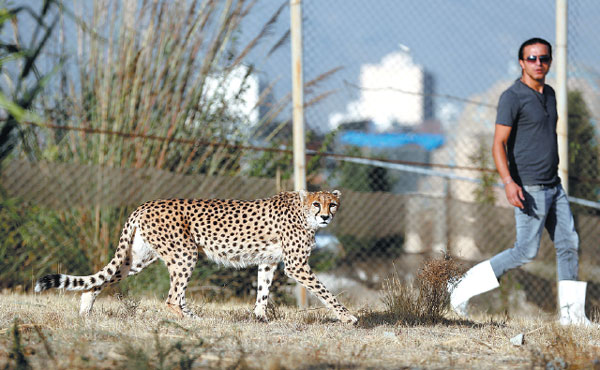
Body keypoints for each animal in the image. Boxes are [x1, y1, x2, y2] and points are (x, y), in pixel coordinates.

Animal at [34, 191, 356, 324]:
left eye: (333, 204)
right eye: (317, 204)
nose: (326, 216)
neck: (303, 213)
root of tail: (144, 204)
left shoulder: (268, 260)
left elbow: (263, 291)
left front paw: (260, 318)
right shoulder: (296, 266)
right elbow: (326, 292)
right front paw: (349, 317)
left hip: (138, 258)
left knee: (101, 280)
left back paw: (86, 310)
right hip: (184, 253)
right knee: (171, 299)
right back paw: (195, 321)